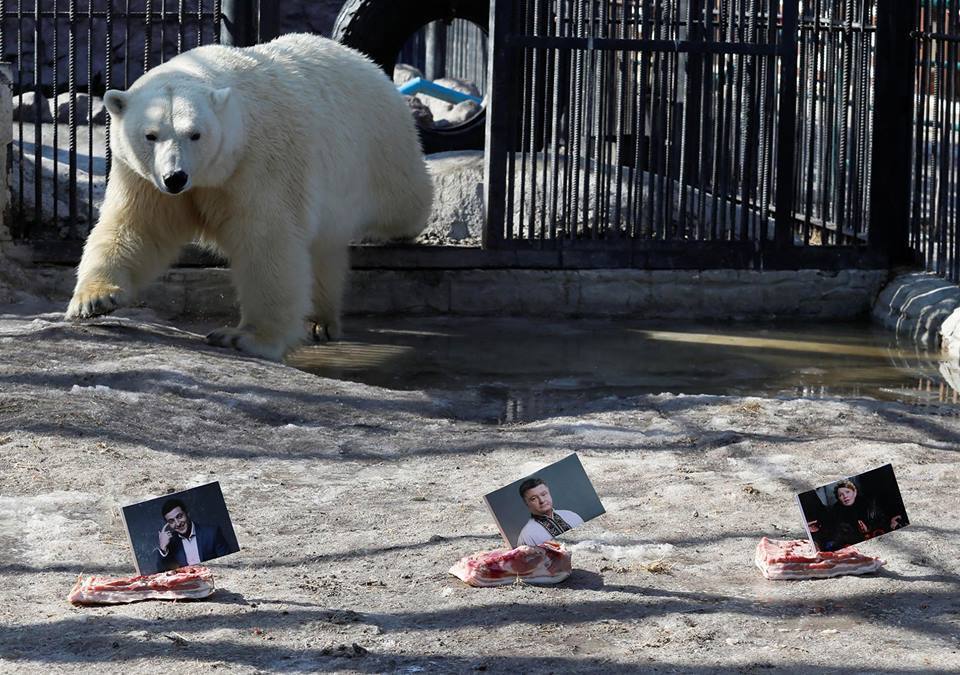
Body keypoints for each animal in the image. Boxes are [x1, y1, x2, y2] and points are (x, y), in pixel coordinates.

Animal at [70, 33, 436, 360]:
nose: (176, 177)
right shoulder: (141, 177)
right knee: (324, 250)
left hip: (380, 148)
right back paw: (319, 321)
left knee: (405, 200)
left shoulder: (259, 163)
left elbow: (266, 242)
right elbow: (138, 228)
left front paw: (244, 338)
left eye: (195, 134)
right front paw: (94, 300)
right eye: (150, 135)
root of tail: (365, 61)